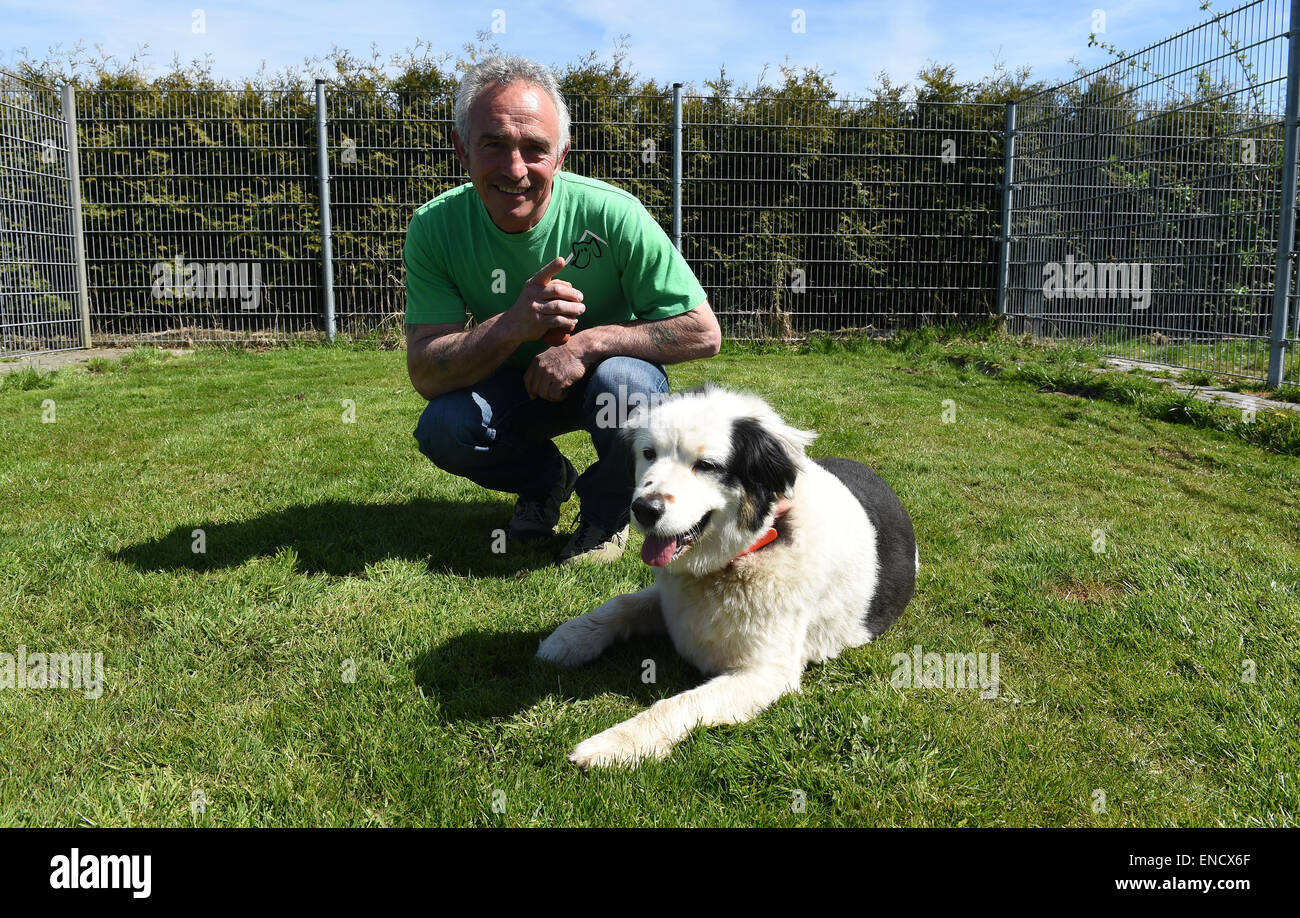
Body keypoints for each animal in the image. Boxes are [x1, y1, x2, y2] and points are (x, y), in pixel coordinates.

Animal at [533, 382, 920, 769]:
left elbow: (680, 702)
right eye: (649, 453)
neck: (743, 554)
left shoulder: (767, 672)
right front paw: (568, 638)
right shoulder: (672, 599)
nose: (644, 509)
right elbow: (622, 603)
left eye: (706, 466)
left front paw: (615, 744)